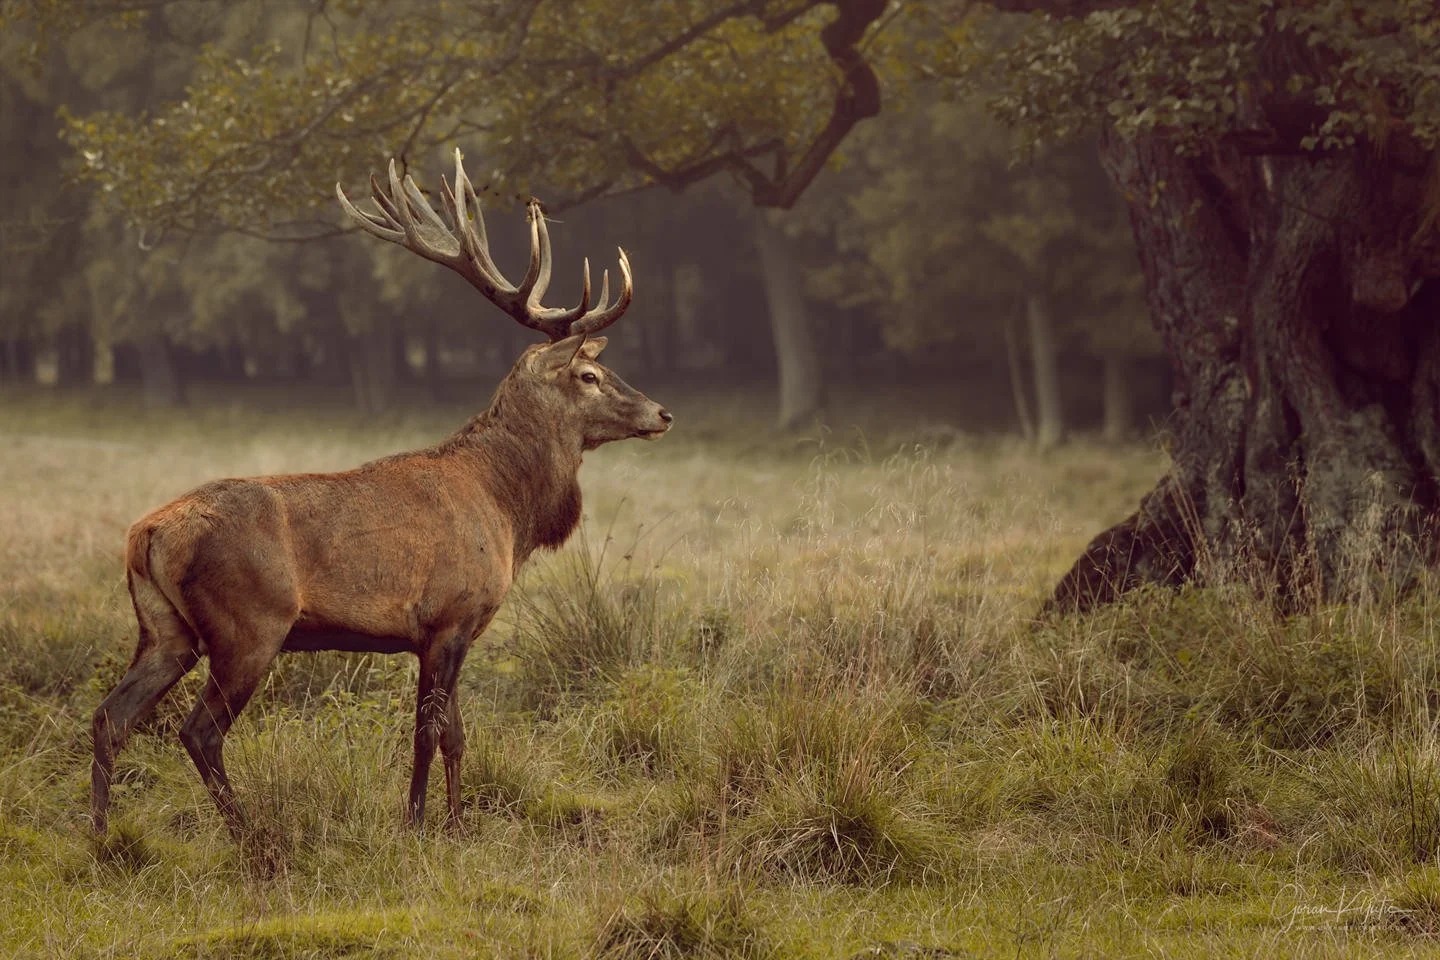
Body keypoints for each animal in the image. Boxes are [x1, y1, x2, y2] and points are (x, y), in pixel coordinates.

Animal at [90, 149, 672, 838]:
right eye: (588, 374)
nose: (662, 413)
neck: (508, 511)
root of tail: (145, 534)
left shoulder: (447, 633)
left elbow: (456, 735)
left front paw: (455, 824)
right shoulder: (449, 616)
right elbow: (428, 734)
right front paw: (420, 824)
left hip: (163, 629)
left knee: (110, 715)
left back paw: (100, 835)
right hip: (248, 626)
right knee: (197, 731)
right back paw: (253, 834)